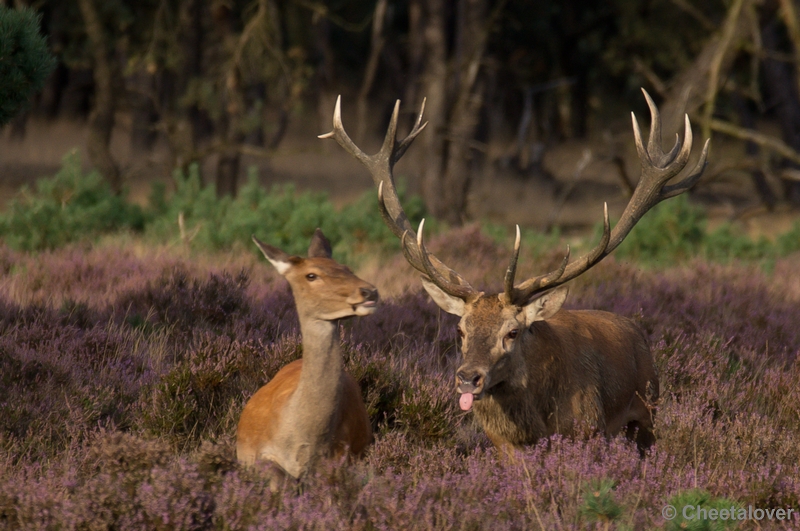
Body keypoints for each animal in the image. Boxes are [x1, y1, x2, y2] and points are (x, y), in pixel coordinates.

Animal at [234, 229, 378, 478]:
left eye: (347, 268)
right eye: (311, 275)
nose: (369, 291)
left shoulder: (343, 459)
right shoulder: (256, 455)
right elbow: (277, 476)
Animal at [318, 89, 708, 456]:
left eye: (513, 332)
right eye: (460, 329)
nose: (468, 378)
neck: (537, 424)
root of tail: (637, 331)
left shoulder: (589, 429)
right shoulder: (504, 446)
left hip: (648, 412)